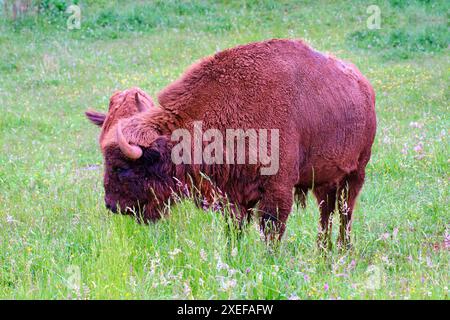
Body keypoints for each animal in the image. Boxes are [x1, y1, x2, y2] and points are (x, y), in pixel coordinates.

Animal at [85, 38, 376, 249]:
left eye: (122, 167)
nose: (111, 204)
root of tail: (363, 85)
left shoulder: (278, 187)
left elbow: (271, 228)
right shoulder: (234, 193)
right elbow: (234, 227)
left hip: (356, 173)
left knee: (345, 212)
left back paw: (343, 250)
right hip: (324, 180)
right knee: (327, 213)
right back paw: (323, 251)